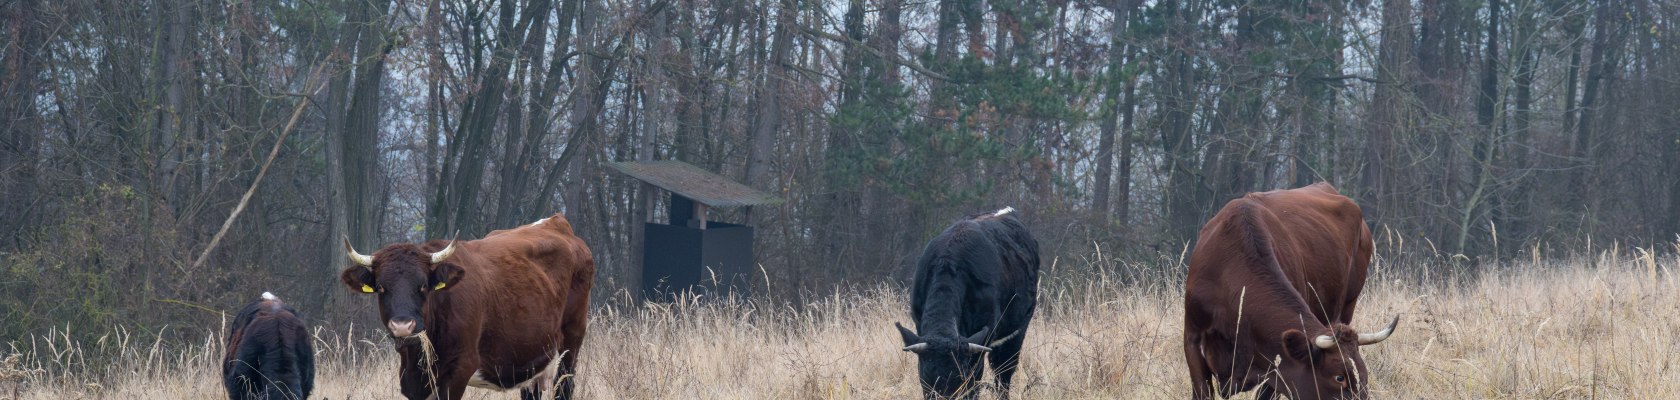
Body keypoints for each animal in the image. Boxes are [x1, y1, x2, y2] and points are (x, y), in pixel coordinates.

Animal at [341, 212, 598, 400]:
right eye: (382, 288)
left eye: (423, 286)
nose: (402, 325)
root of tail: (556, 221)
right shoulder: (413, 380)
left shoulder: (459, 369)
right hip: (534, 359)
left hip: (570, 348)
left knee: (564, 388)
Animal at [893, 207, 1034, 398]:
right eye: (927, 380)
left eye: (959, 379)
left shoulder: (982, 340)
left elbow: (975, 382)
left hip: (1017, 331)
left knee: (1003, 371)